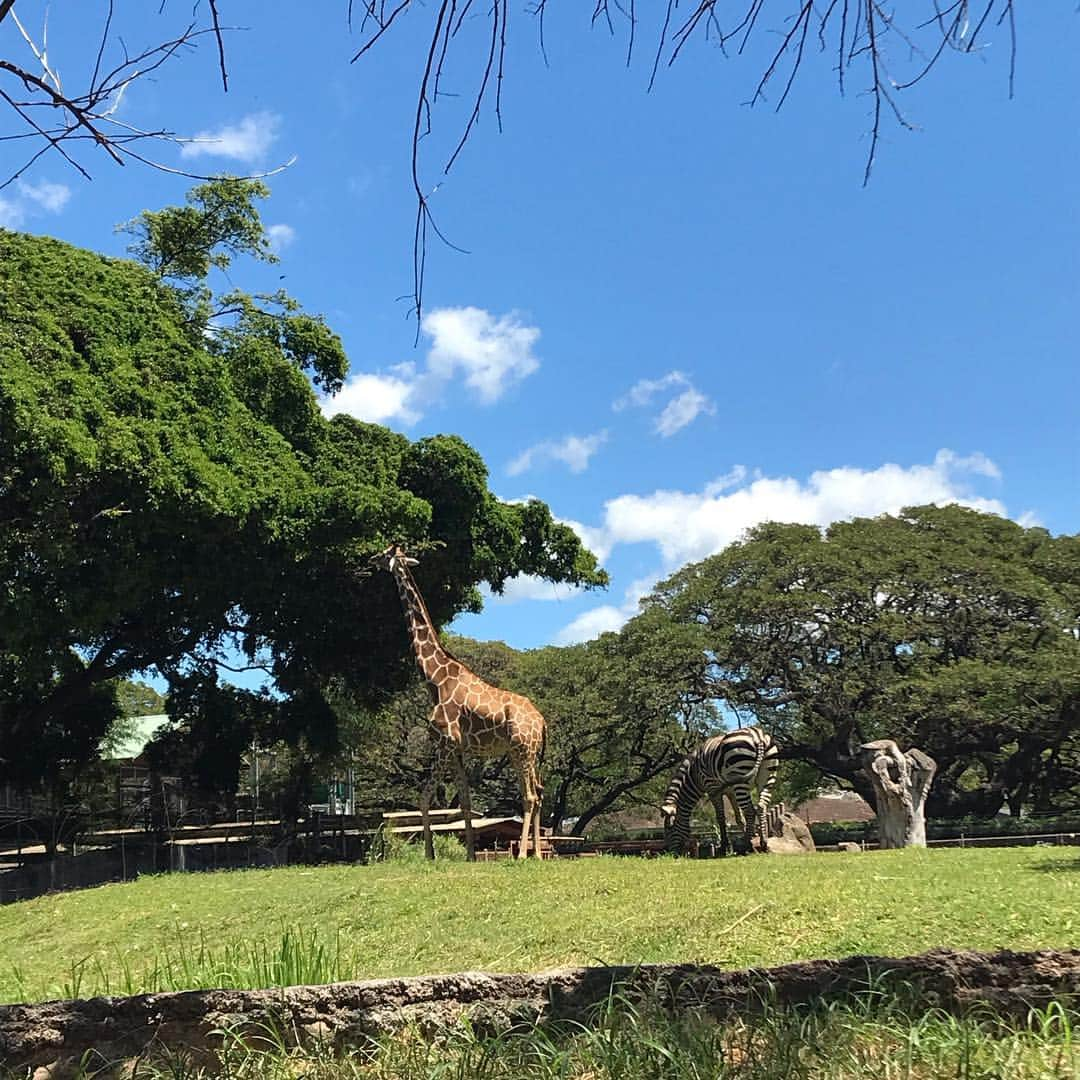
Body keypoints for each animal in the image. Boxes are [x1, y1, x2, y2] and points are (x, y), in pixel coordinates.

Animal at [371, 544, 544, 864]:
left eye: (386, 552)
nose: (370, 558)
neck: (434, 677)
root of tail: (542, 722)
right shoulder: (458, 749)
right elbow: (464, 801)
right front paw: (471, 855)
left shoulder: (445, 741)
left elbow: (424, 797)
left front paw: (429, 854)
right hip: (529, 754)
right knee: (538, 792)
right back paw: (538, 852)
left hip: (521, 749)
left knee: (529, 796)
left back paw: (523, 855)